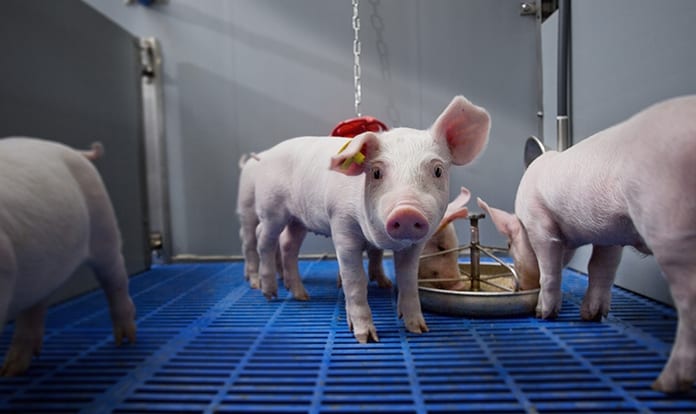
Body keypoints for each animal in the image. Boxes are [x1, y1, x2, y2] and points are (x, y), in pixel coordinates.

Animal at [0, 137, 136, 376]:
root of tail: (75, 151)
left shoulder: (4, 263)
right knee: (38, 301)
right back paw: (13, 369)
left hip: (104, 224)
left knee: (115, 277)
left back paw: (125, 339)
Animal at [237, 95, 490, 343]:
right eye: (376, 173)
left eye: (438, 170)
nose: (407, 211)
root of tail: (264, 156)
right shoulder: (341, 225)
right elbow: (355, 281)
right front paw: (365, 338)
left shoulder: (413, 246)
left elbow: (407, 280)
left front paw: (419, 329)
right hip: (269, 208)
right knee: (262, 240)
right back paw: (268, 292)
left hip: (298, 219)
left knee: (288, 244)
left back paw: (302, 296)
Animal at [476, 95, 696, 393]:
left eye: (509, 245)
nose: (520, 285)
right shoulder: (611, 233)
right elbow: (601, 268)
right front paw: (590, 316)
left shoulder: (540, 224)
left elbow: (550, 270)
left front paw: (543, 314)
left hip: (668, 221)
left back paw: (665, 383)